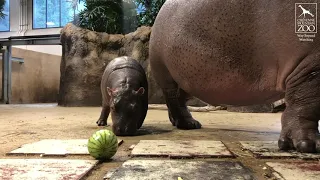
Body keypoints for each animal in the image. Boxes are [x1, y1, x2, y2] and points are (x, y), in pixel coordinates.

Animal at [149, 0, 320, 153]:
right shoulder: (309, 65)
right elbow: (306, 102)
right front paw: (307, 146)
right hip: (165, 72)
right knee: (172, 98)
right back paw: (187, 124)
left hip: (186, 79)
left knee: (179, 99)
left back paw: (188, 123)